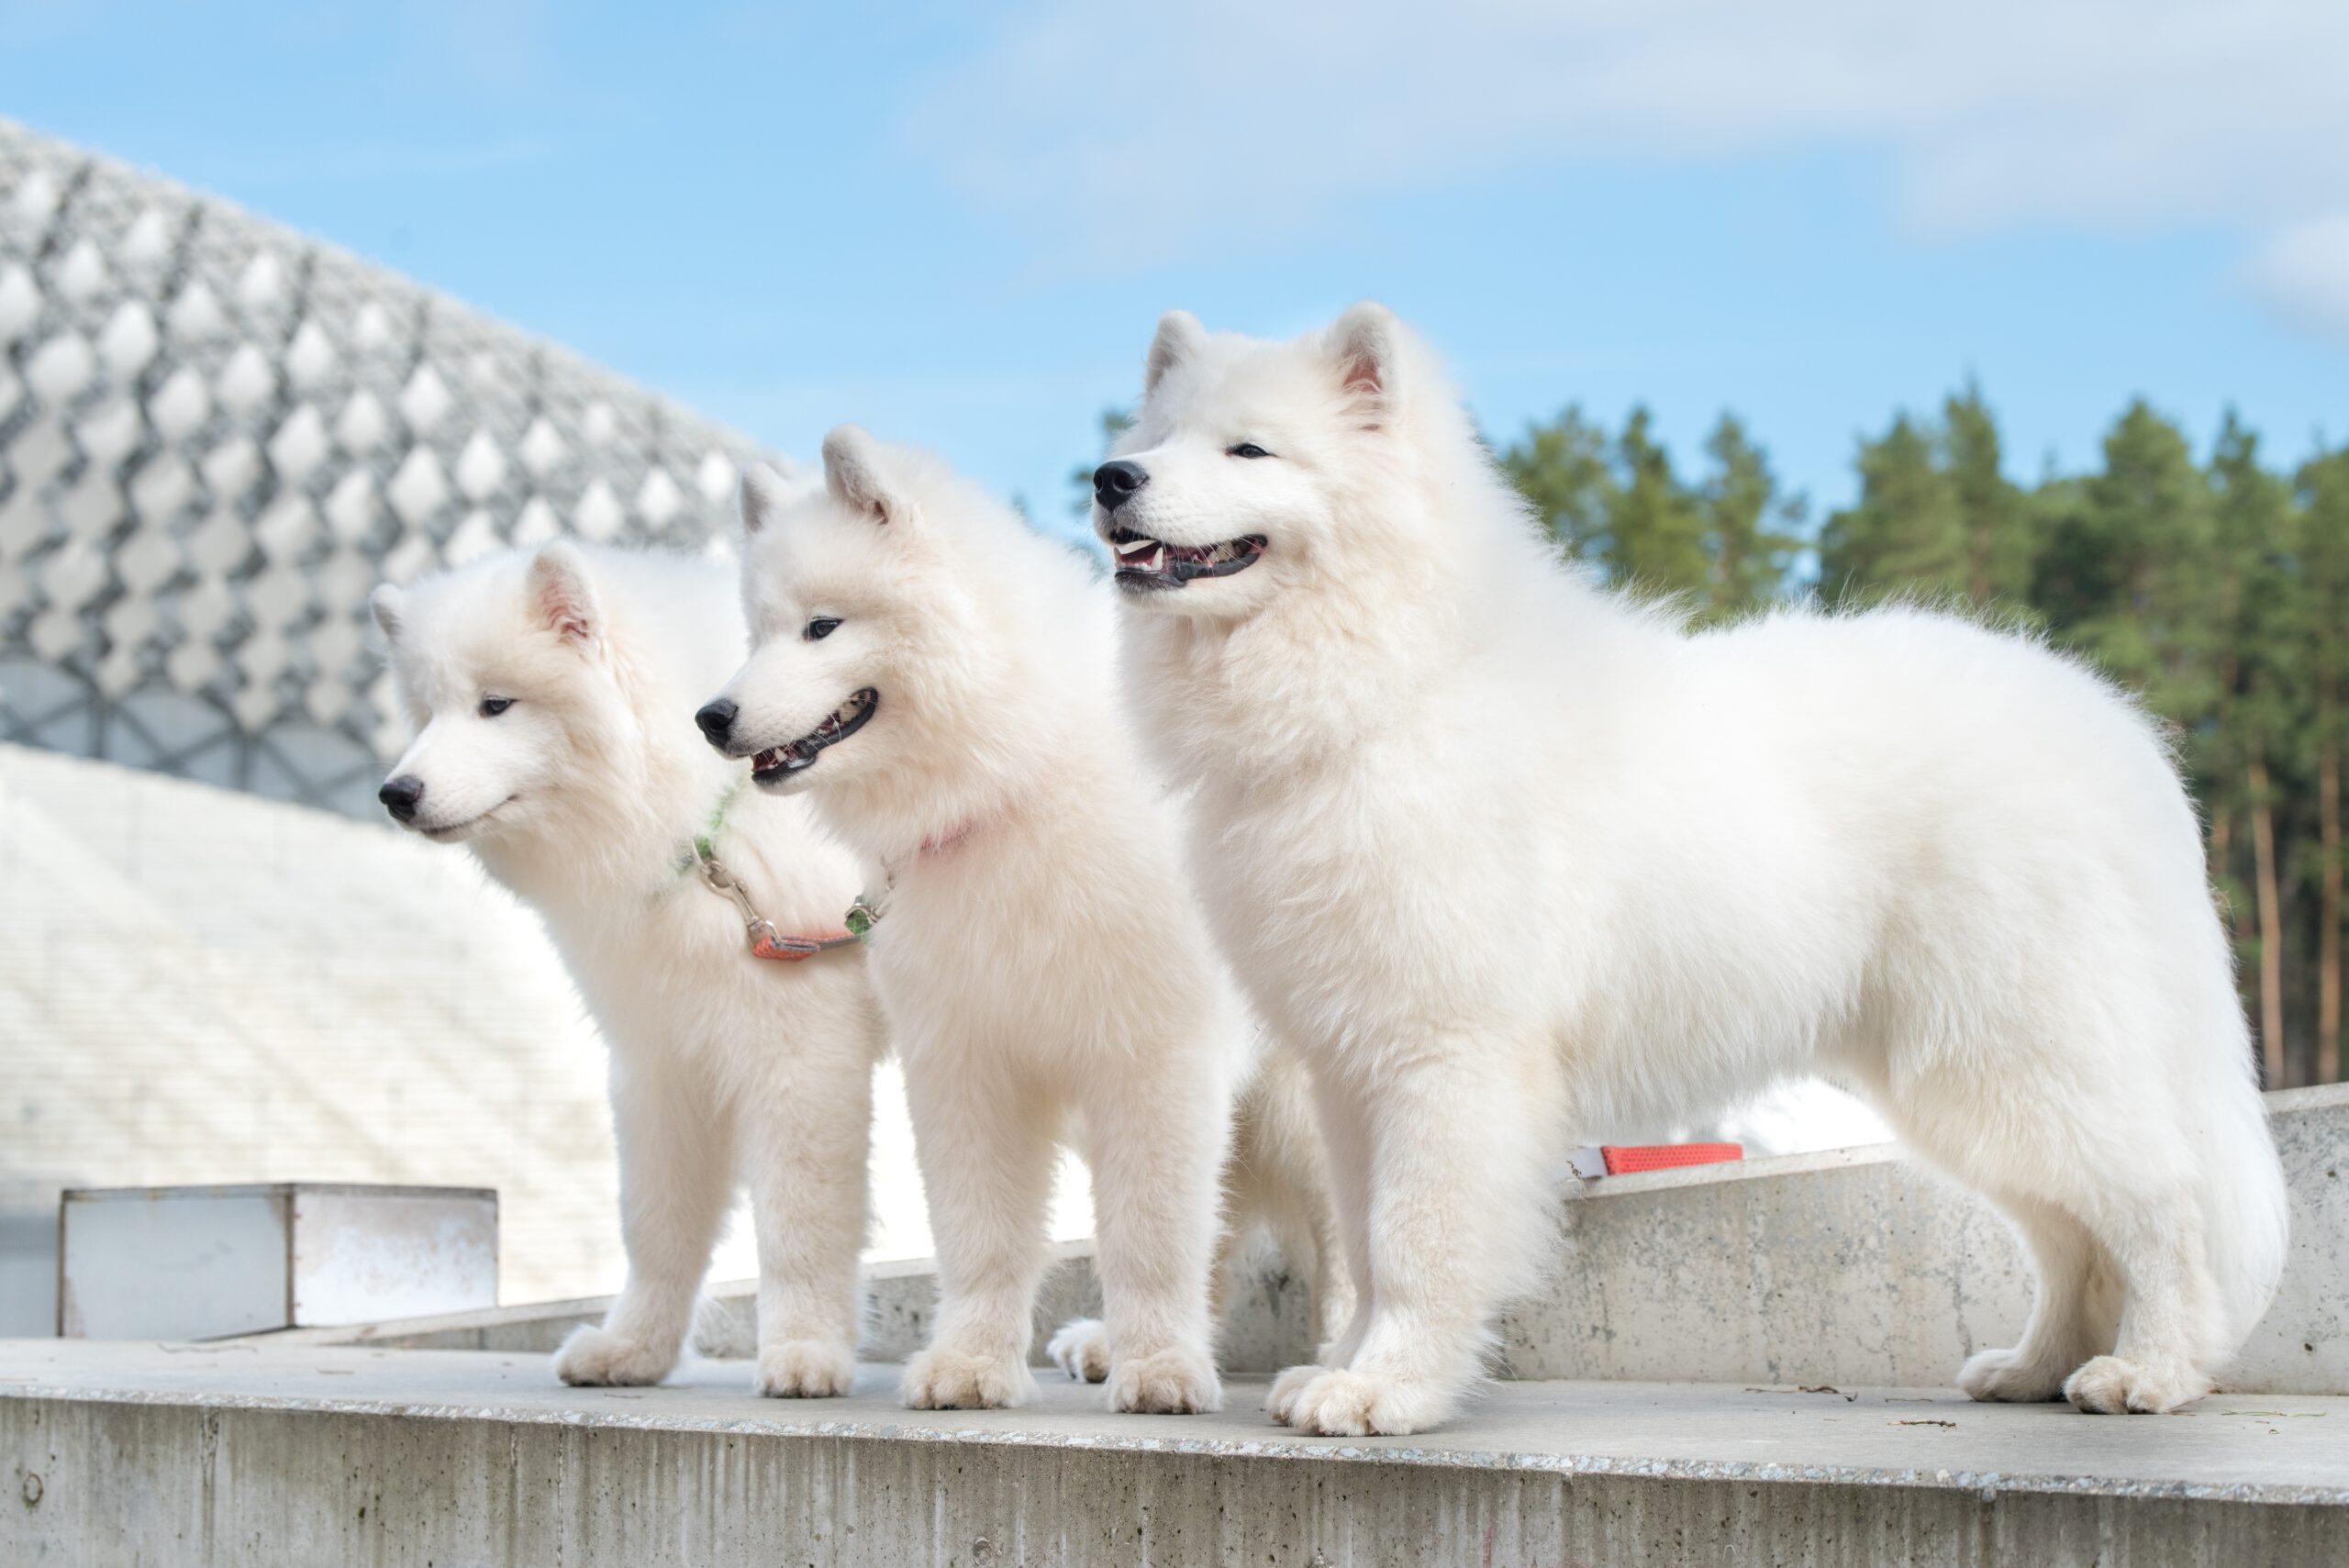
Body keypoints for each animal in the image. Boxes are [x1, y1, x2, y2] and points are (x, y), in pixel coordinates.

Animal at [375, 541, 887, 1398]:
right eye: (429, 712)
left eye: (495, 705)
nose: (395, 793)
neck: (701, 822)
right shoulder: (663, 1058)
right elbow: (657, 1224)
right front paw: (635, 1350)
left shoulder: (802, 1055)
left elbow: (799, 1224)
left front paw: (805, 1353)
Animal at [705, 431, 1259, 1418]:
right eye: (755, 635)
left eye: (822, 627)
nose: (711, 717)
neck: (1007, 782)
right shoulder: (966, 1062)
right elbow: (980, 1233)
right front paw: (970, 1365)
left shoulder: (1156, 1055)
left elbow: (1151, 1233)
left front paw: (1161, 1367)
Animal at [1094, 303, 2292, 1436]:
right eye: (1152, 438)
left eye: (1249, 448)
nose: (1109, 478)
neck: (1392, 683)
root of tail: (2116, 729)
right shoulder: (1350, 1069)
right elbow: (1366, 1239)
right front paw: (1343, 1368)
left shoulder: (1448, 1059)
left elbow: (1414, 1241)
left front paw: (1387, 1388)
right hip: (1959, 1082)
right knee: (2067, 1235)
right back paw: (2035, 1367)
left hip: (2023, 1053)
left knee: (2161, 1205)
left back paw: (2152, 1370)